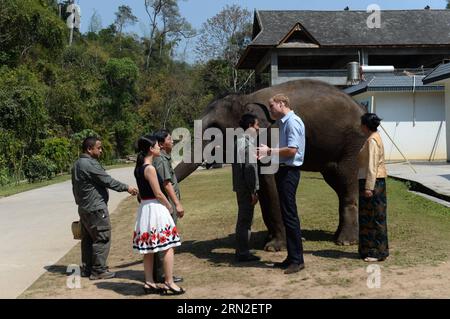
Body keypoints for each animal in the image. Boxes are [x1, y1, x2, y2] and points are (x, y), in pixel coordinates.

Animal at [174, 79, 368, 250]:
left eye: (214, 128)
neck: (246, 98)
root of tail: (362, 108)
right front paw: (268, 242)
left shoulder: (270, 136)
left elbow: (270, 185)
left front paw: (274, 247)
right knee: (337, 183)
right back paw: (338, 237)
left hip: (353, 145)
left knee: (347, 180)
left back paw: (346, 241)